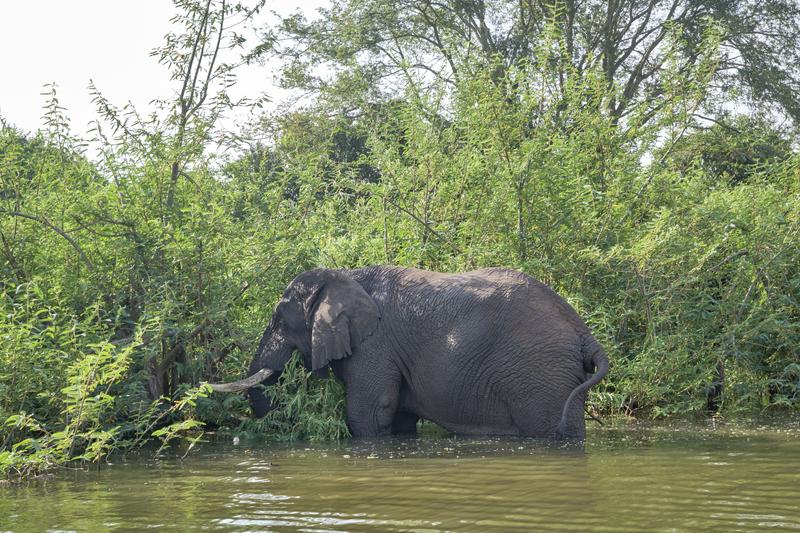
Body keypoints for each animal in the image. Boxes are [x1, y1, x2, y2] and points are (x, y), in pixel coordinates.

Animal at [209, 264, 608, 438]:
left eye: (279, 318)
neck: (345, 275)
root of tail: (583, 331)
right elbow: (398, 417)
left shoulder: (375, 344)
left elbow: (369, 413)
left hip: (539, 375)